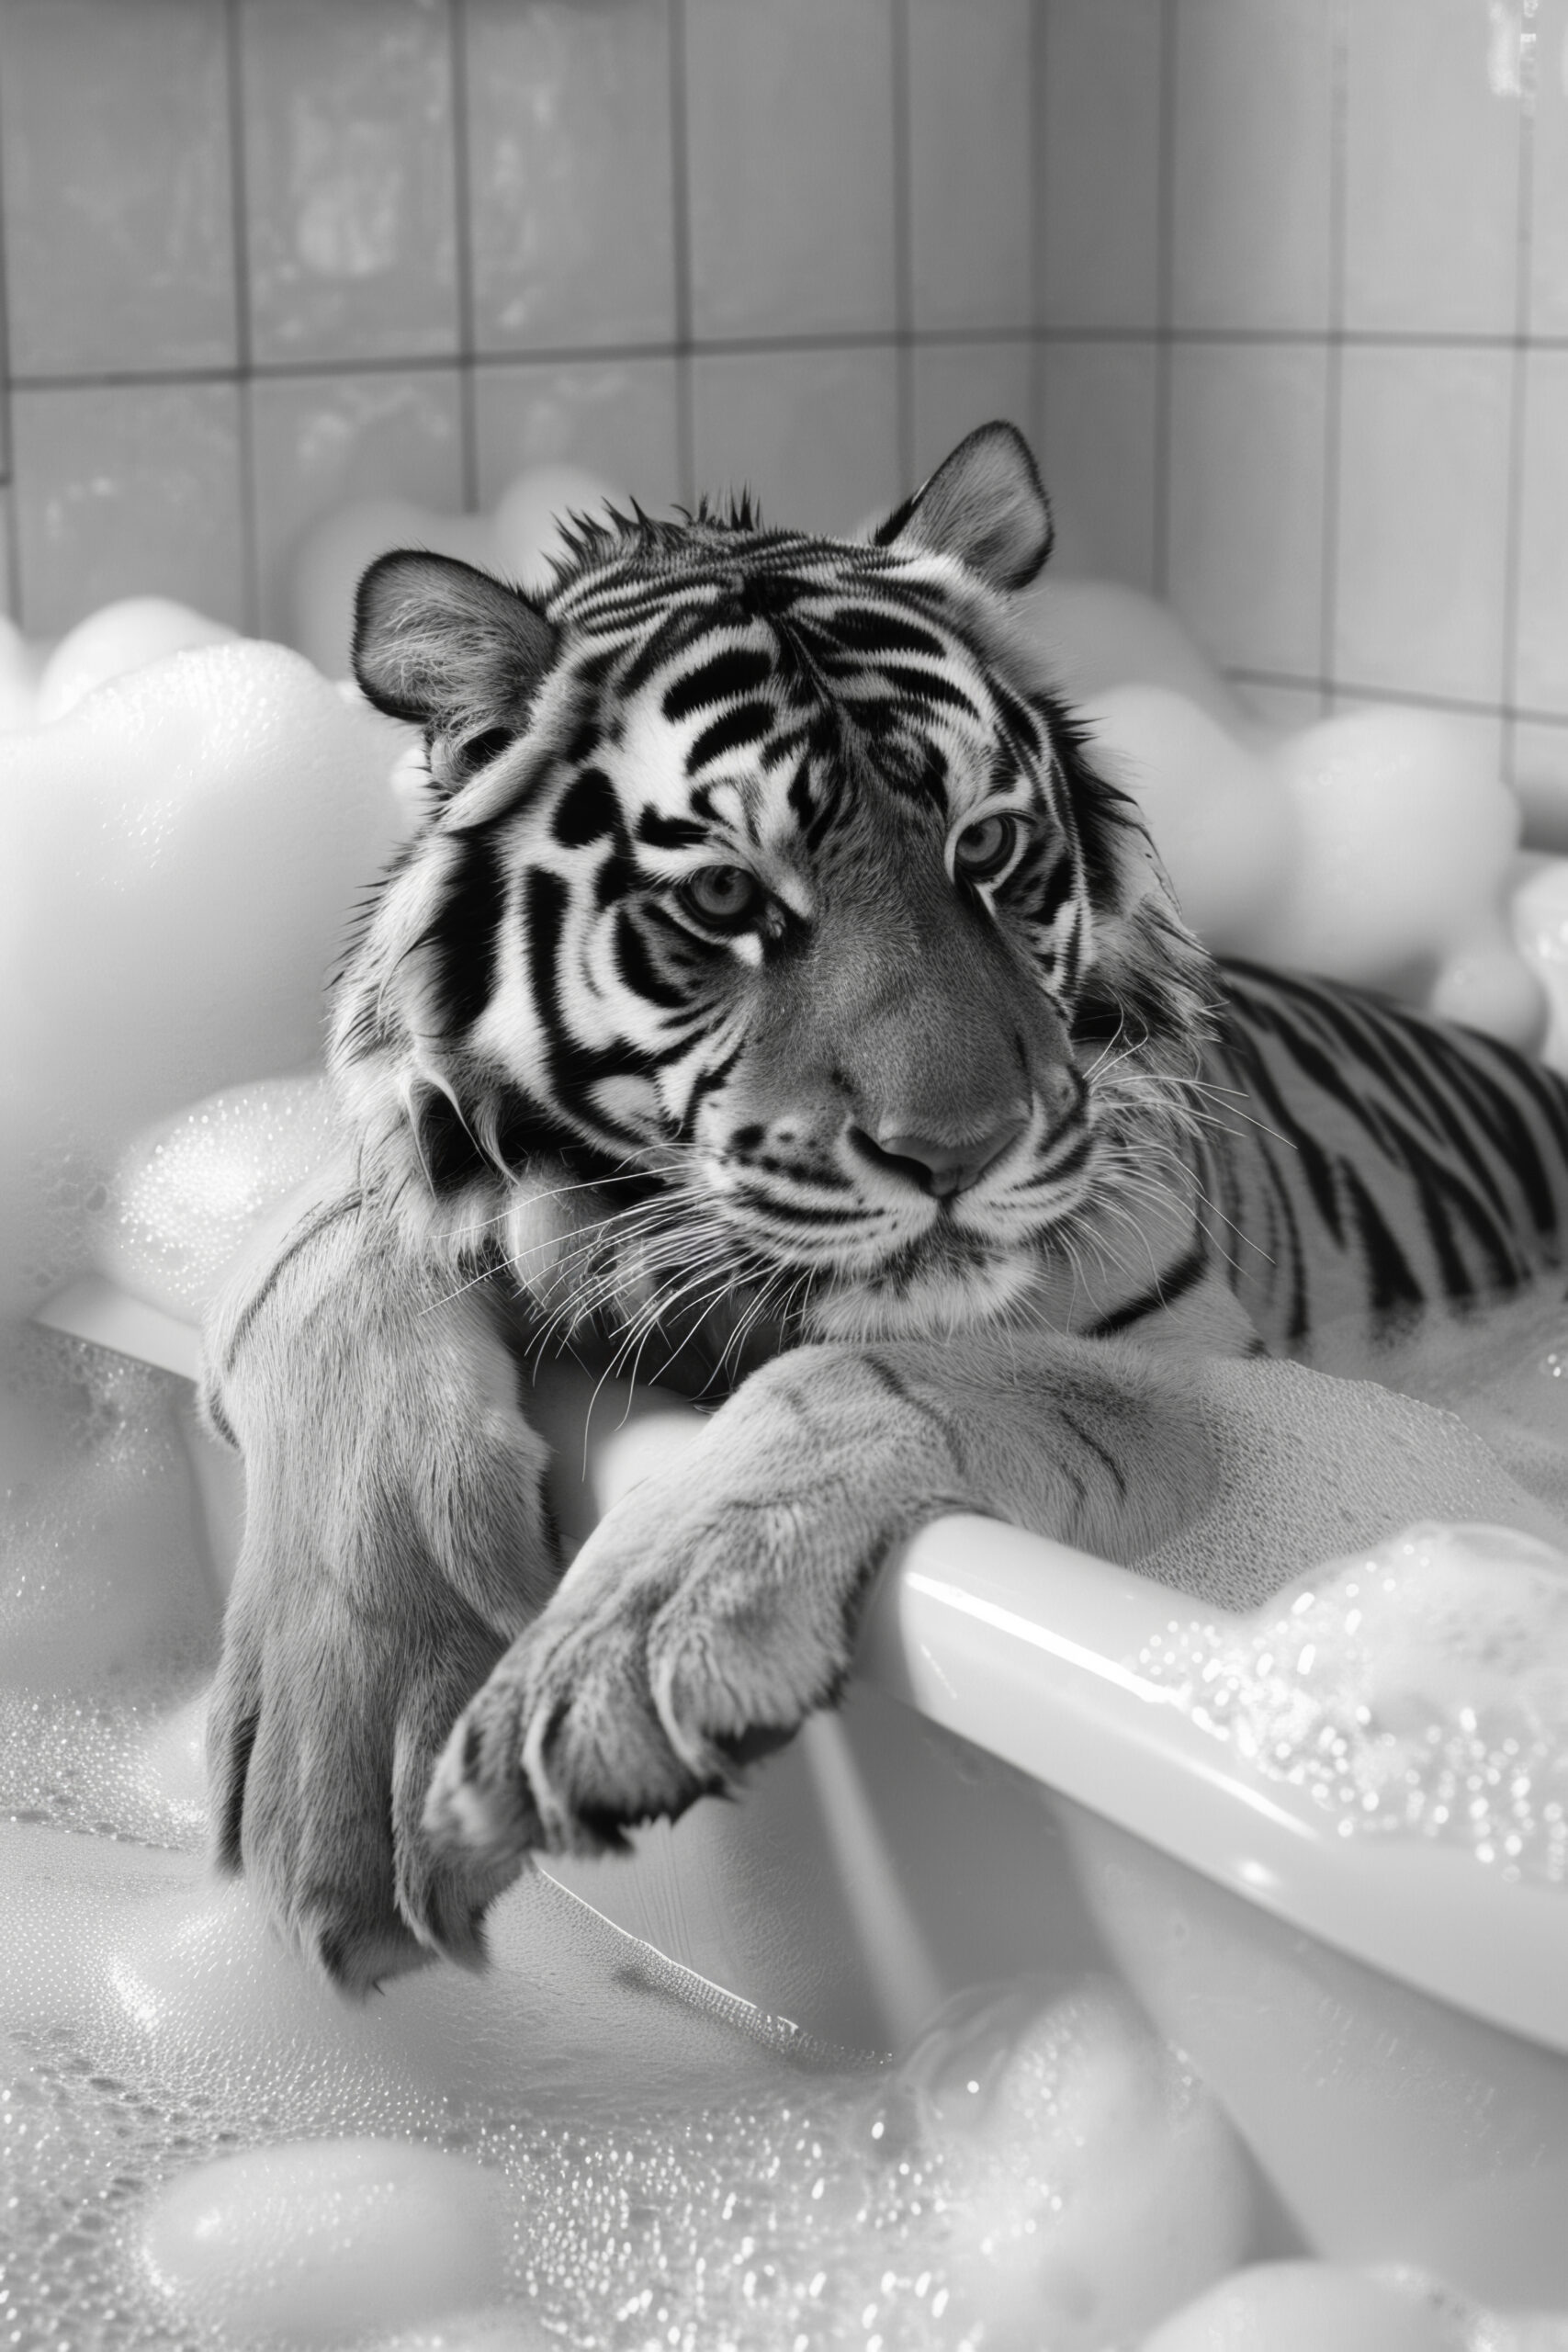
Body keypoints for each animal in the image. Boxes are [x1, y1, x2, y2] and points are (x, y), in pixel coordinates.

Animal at [201, 421, 1568, 1993]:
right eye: (724, 899)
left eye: (985, 848)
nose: (958, 1149)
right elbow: (327, 1273)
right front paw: (356, 1767)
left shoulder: (1216, 1373)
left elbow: (870, 1371)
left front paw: (625, 1653)